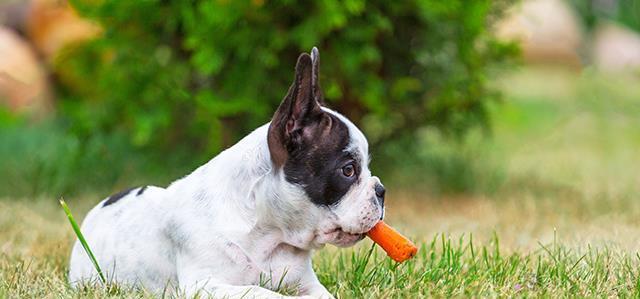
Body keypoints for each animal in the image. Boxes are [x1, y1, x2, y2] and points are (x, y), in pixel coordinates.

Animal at [69, 48, 384, 298]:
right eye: (348, 170)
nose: (381, 191)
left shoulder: (307, 284)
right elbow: (263, 293)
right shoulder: (205, 285)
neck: (269, 234)